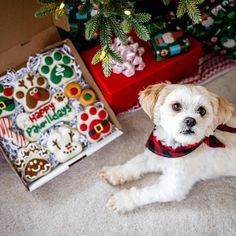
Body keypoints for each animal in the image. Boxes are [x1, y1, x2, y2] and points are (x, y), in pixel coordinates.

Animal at [98, 84, 236, 213]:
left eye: (202, 111)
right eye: (176, 106)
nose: (190, 121)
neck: (175, 150)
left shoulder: (172, 188)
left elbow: (145, 193)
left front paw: (122, 200)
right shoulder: (155, 155)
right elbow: (134, 164)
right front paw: (114, 173)